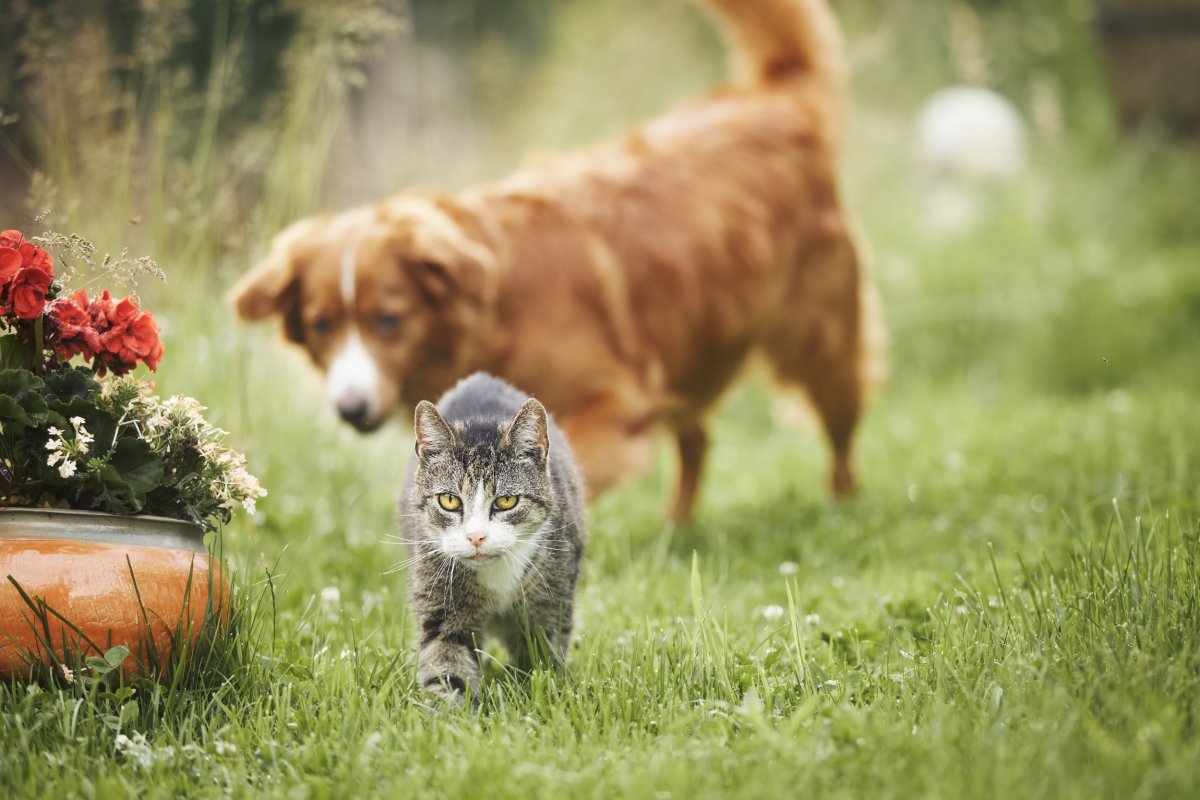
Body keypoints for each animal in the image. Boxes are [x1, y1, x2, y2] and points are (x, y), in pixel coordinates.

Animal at [229, 0, 883, 522]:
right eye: (322, 325)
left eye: (389, 320)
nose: (350, 407)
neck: (496, 314)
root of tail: (773, 100)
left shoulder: (613, 403)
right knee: (696, 438)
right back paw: (675, 529)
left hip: (820, 345)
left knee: (840, 433)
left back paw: (842, 506)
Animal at [400, 374, 588, 700]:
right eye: (449, 500)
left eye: (507, 501)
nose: (476, 537)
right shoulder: (441, 606)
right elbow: (446, 662)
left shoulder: (550, 604)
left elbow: (542, 659)